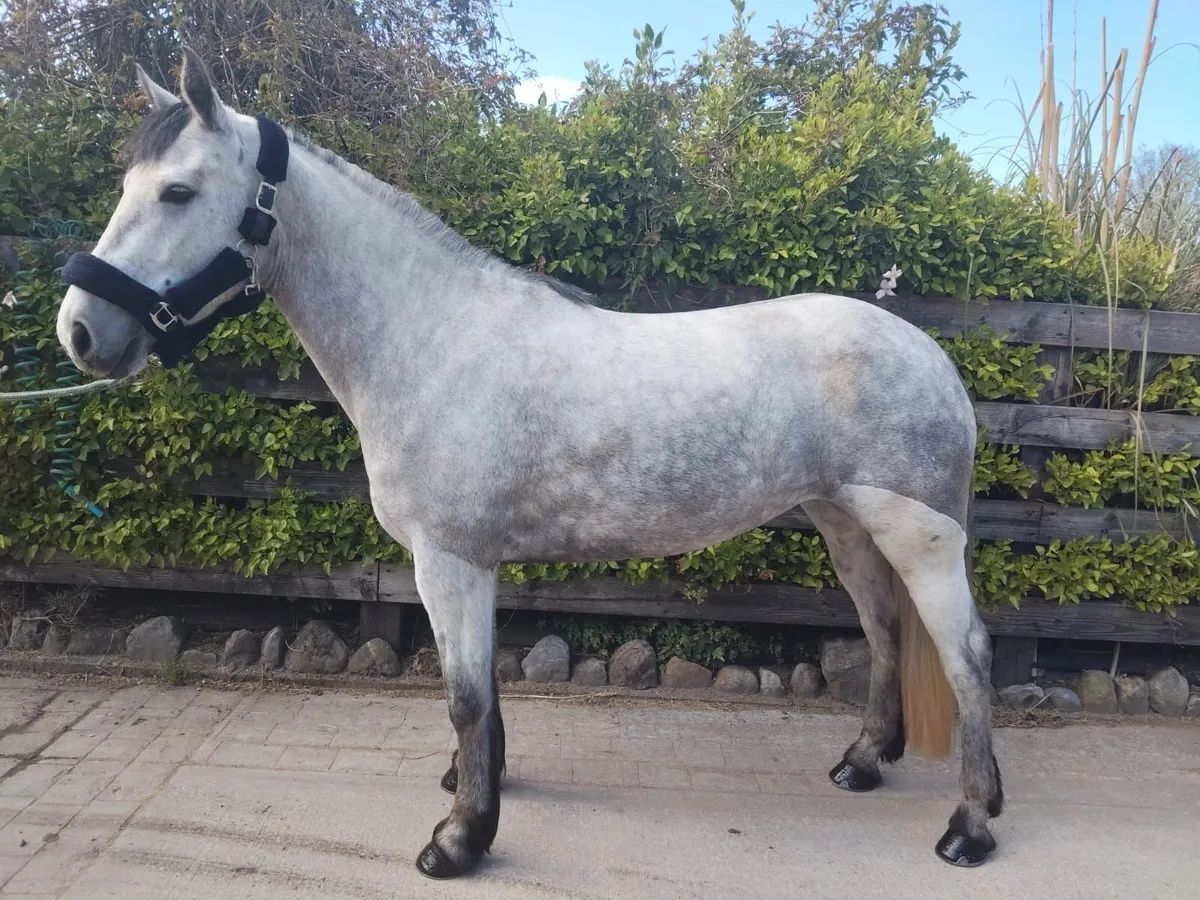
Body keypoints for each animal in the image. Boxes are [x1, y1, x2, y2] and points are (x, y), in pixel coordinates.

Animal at [56, 49, 1003, 879]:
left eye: (178, 190)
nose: (81, 333)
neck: (429, 340)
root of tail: (931, 355)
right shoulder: (471, 563)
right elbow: (481, 696)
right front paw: (474, 791)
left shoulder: (449, 560)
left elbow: (466, 696)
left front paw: (459, 839)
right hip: (845, 524)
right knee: (884, 630)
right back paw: (863, 762)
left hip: (917, 537)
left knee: (967, 654)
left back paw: (971, 826)